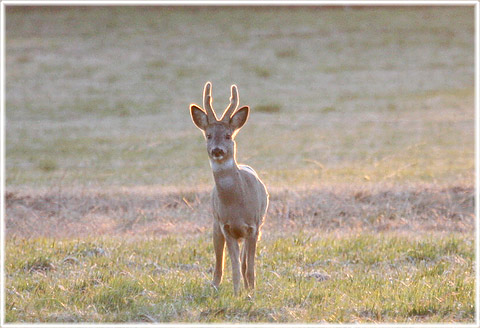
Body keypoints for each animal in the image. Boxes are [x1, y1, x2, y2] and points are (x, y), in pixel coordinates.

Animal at [188, 82, 270, 294]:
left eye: (227, 135)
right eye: (208, 135)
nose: (217, 150)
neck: (237, 206)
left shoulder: (253, 227)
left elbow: (249, 267)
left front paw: (251, 292)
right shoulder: (226, 227)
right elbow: (233, 266)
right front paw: (236, 293)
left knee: (245, 262)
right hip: (215, 225)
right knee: (219, 262)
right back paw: (214, 286)